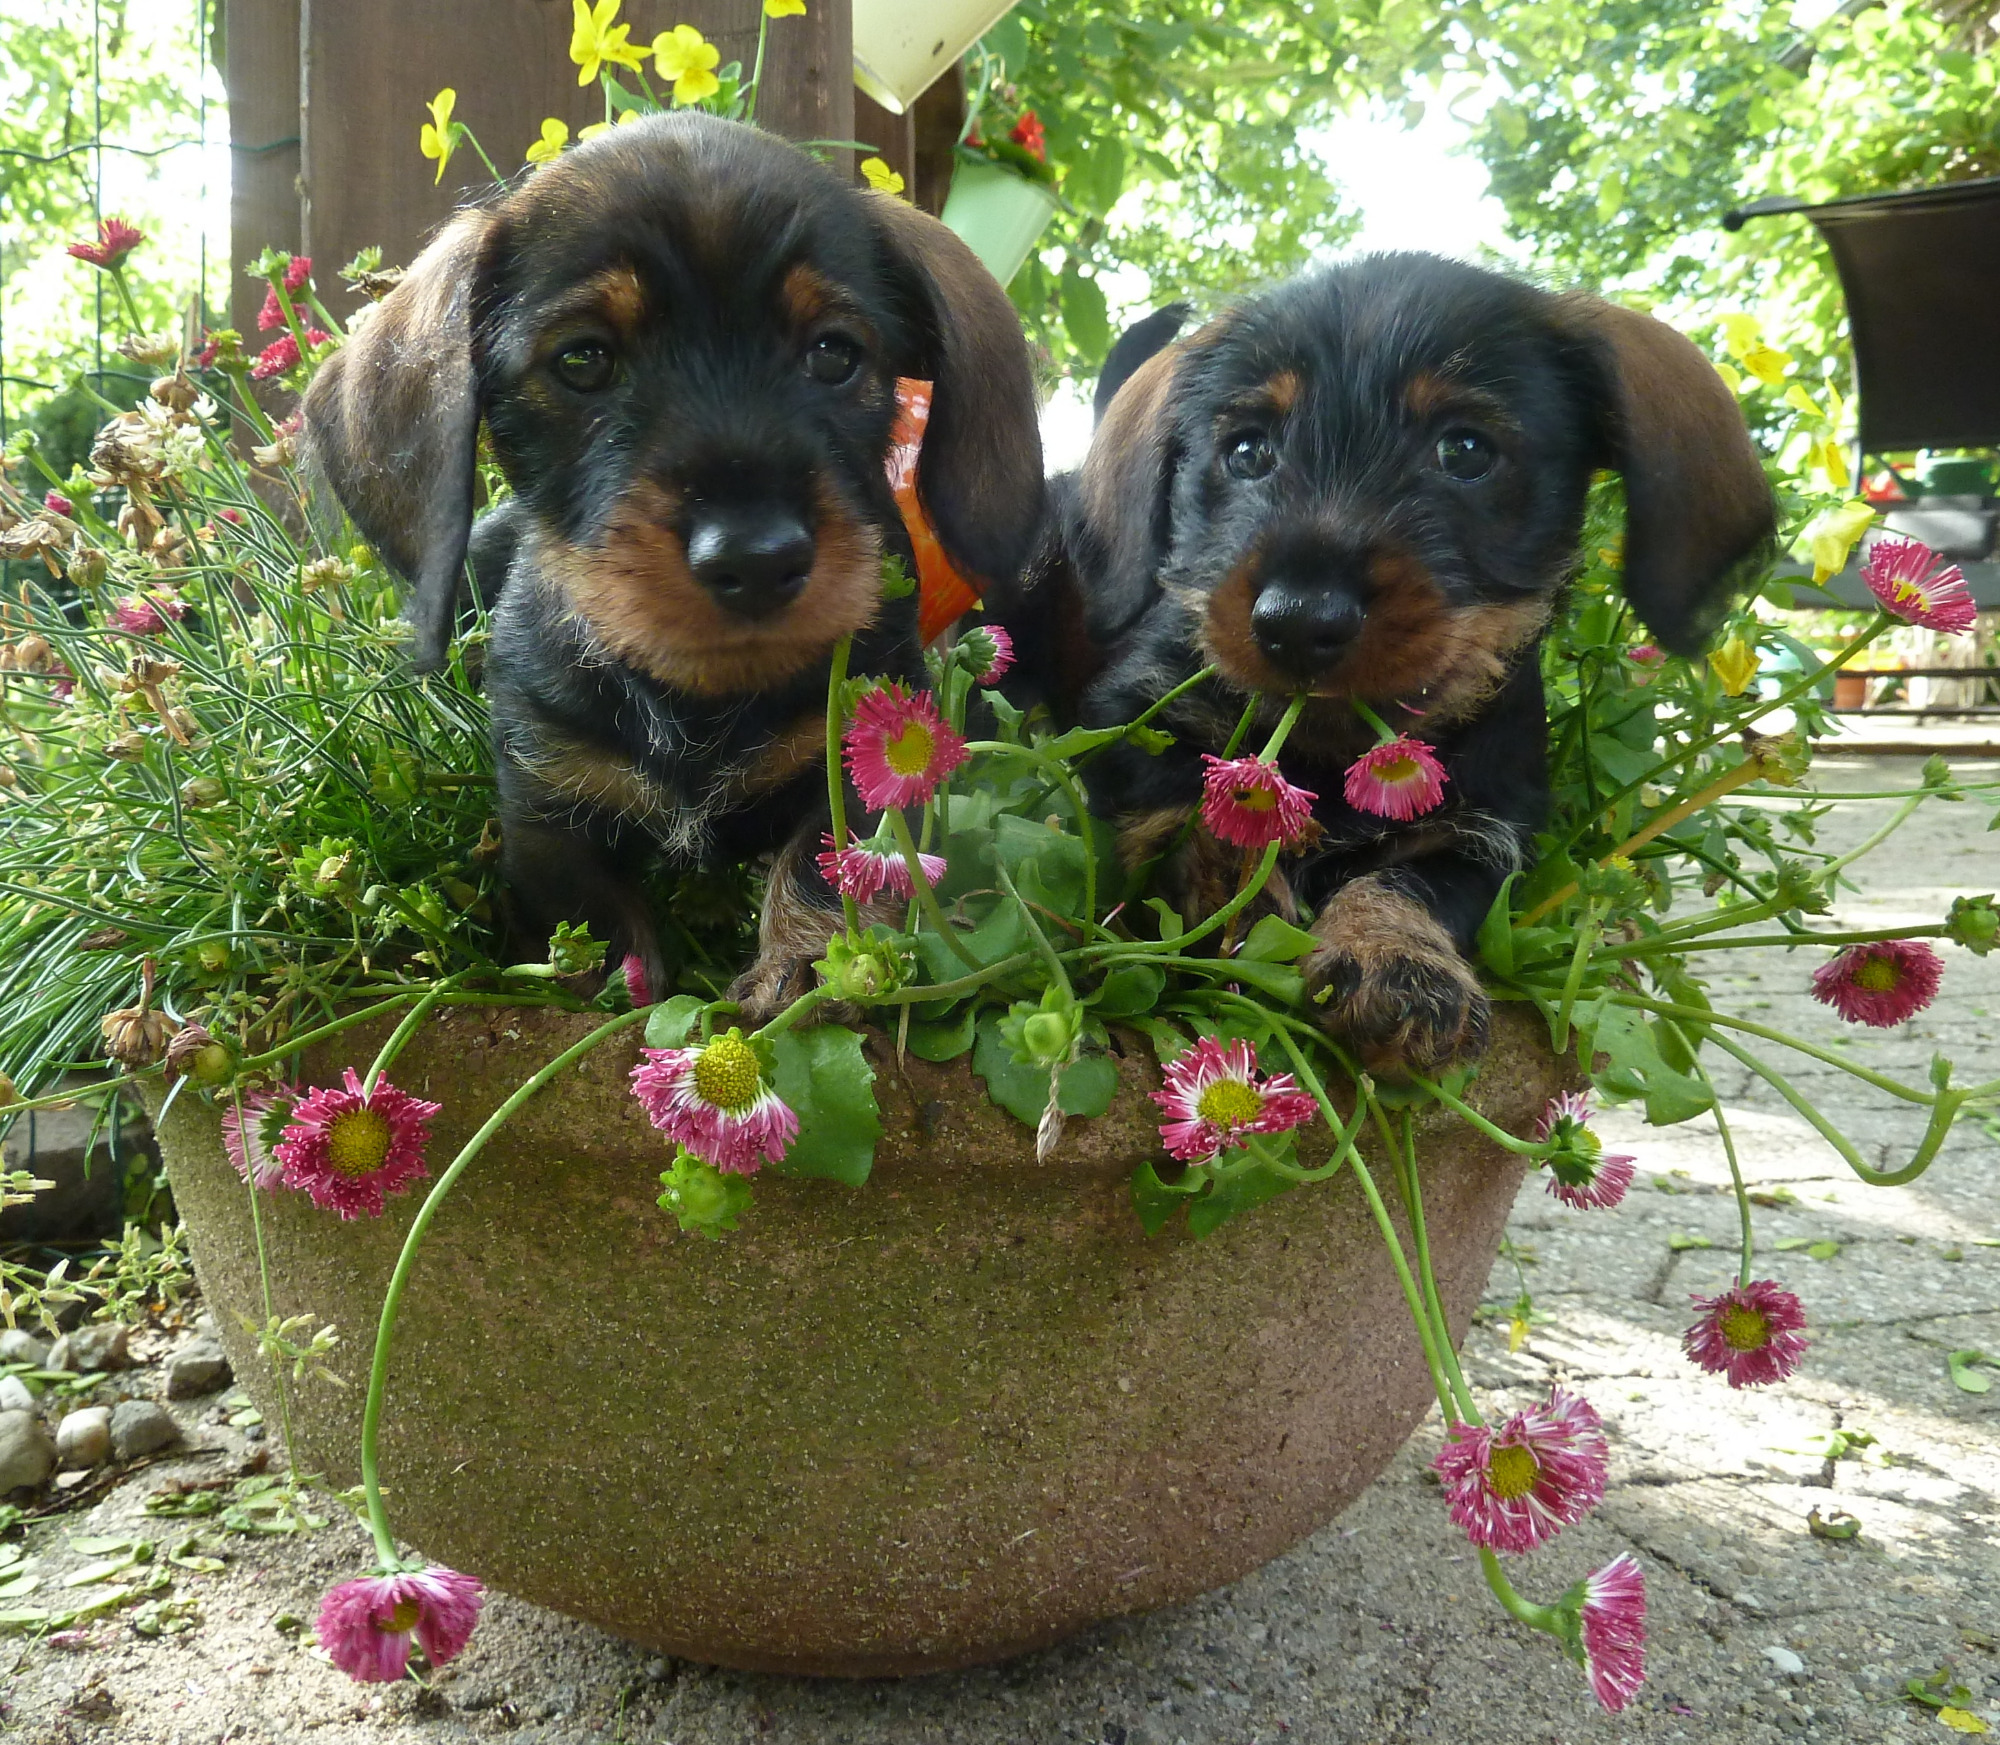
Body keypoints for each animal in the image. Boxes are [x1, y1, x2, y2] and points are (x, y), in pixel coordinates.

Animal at [304, 113, 1042, 1015]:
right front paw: (616, 982)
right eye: (583, 359)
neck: (697, 698)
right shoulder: (544, 806)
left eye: (834, 353)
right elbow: (590, 911)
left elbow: (825, 858)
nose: (756, 558)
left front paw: (807, 962)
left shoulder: (861, 746)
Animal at [1034, 253, 1774, 1075]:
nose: (1296, 621)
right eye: (1248, 451)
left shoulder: (1486, 835)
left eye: (1466, 451)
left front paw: (1397, 963)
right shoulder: (1130, 720)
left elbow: (1409, 882)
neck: (1334, 752)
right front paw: (1235, 903)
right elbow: (1193, 809)